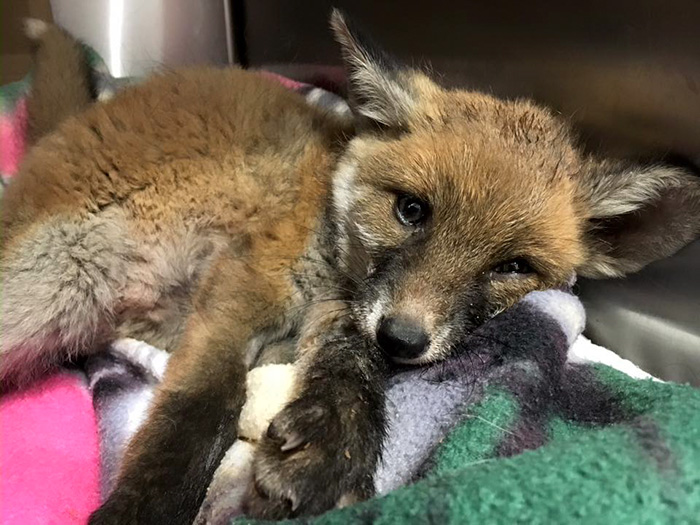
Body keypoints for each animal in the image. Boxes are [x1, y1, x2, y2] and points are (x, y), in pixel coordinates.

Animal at [2, 11, 699, 524]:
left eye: (513, 265)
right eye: (411, 210)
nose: (405, 340)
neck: (326, 217)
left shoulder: (343, 310)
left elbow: (350, 365)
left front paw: (330, 446)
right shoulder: (241, 289)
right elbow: (199, 408)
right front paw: (142, 508)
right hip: (47, 293)